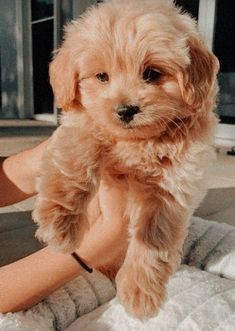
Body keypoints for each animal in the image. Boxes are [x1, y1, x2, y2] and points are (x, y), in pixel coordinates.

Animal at [34, 0, 219, 322]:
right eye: (101, 77)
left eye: (152, 73)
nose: (125, 110)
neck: (138, 143)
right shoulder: (81, 123)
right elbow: (74, 159)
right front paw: (59, 224)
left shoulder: (176, 180)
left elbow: (154, 235)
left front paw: (139, 292)